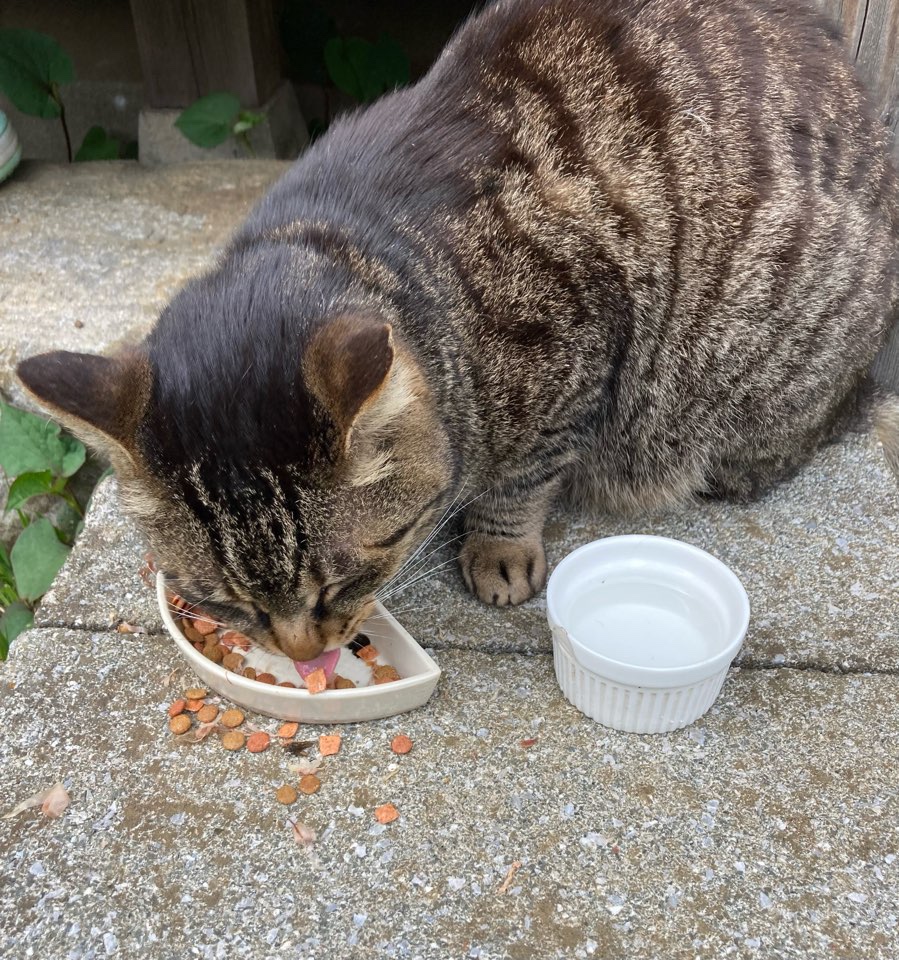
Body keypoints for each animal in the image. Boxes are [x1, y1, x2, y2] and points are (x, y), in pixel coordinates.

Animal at [17, 0, 899, 665]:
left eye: (342, 583)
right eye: (222, 602)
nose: (305, 655)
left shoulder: (573, 349)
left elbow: (520, 480)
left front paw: (497, 549)